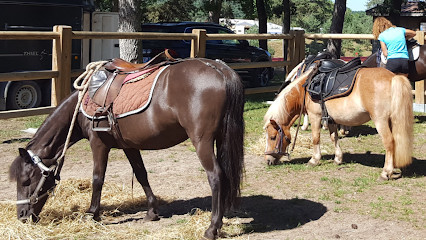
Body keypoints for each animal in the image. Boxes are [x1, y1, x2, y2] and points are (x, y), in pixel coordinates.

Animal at [8, 58, 245, 240]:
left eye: (26, 181)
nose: (22, 216)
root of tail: (220, 69)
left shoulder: (99, 144)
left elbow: (98, 179)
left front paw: (92, 214)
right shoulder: (129, 146)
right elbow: (141, 175)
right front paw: (151, 212)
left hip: (202, 141)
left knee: (216, 176)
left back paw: (212, 228)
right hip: (220, 138)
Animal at [262, 65, 412, 180]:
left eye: (273, 137)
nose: (268, 160)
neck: (305, 90)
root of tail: (393, 77)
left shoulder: (315, 116)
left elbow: (315, 138)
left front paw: (314, 160)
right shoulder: (331, 120)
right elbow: (334, 137)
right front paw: (338, 159)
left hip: (380, 121)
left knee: (389, 142)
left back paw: (386, 172)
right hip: (391, 121)